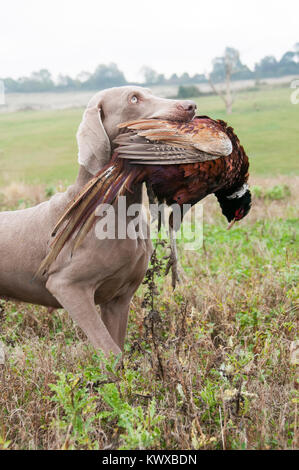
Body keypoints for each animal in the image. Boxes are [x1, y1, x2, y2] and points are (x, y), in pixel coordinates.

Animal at [0, 86, 197, 354]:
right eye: (133, 98)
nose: (191, 106)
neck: (124, 213)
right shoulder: (67, 286)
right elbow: (110, 349)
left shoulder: (118, 299)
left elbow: (119, 348)